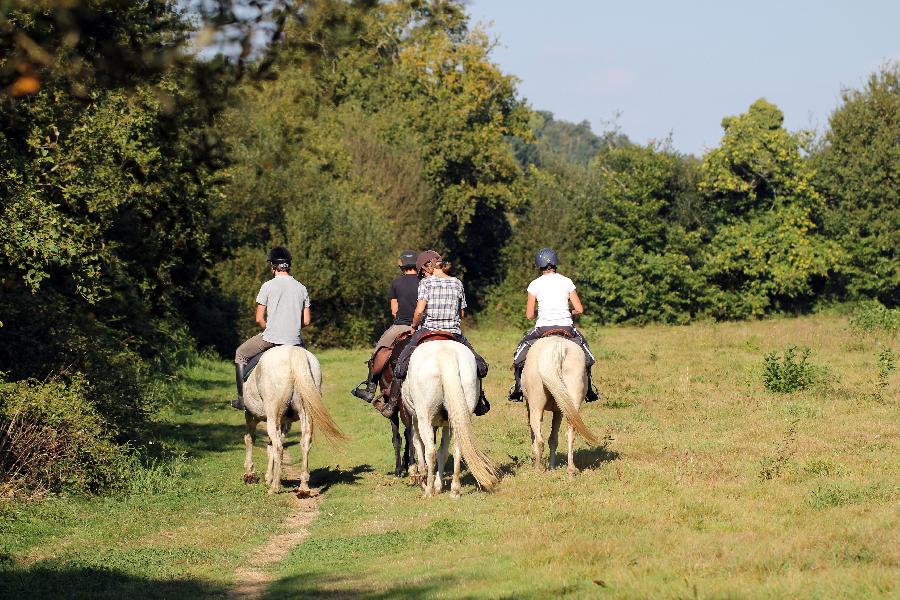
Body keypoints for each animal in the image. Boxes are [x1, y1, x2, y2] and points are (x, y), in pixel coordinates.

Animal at [241, 344, 342, 494]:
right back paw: (303, 487)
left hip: (273, 415)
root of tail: (294, 352)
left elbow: (250, 439)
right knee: (304, 442)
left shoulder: (250, 416)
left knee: (278, 447)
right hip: (305, 413)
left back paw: (275, 488)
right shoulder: (283, 423)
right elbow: (269, 447)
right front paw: (268, 477)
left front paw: (249, 474)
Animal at [402, 340, 500, 500]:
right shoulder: (447, 424)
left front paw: (425, 481)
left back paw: (428, 491)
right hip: (459, 414)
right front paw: (438, 485)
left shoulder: (415, 420)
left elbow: (418, 444)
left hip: (424, 418)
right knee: (458, 448)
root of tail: (445, 352)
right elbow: (443, 452)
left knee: (430, 451)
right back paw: (454, 490)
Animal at [520, 338, 596, 474]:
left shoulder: (530, 407)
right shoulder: (559, 411)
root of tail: (558, 346)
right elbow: (553, 440)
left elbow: (534, 435)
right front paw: (552, 467)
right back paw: (571, 469)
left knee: (539, 439)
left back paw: (537, 469)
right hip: (572, 402)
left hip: (536, 406)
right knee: (570, 434)